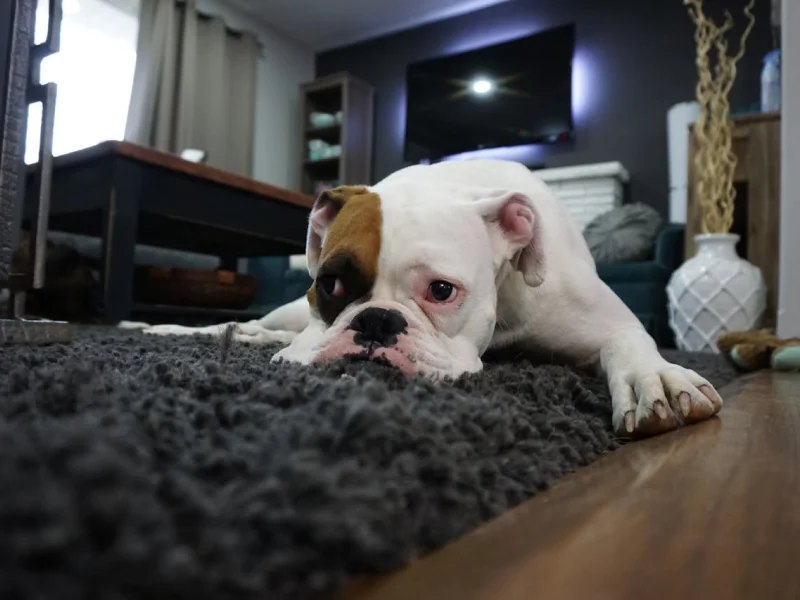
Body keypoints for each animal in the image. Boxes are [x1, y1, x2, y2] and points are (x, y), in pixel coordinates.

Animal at [133, 161, 724, 436]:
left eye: (441, 291)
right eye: (330, 284)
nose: (375, 322)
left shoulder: (610, 321)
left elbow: (629, 345)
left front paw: (656, 381)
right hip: (288, 310)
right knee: (258, 324)